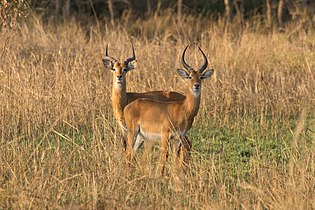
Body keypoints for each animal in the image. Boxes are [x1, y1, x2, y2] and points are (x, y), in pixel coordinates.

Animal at [123, 45, 215, 174]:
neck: (182, 110)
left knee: (131, 153)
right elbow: (164, 156)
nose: (196, 85)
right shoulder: (165, 135)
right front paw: (160, 175)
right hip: (133, 132)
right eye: (190, 76)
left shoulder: (178, 137)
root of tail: (129, 105)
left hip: (140, 137)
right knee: (128, 152)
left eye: (201, 77)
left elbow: (175, 156)